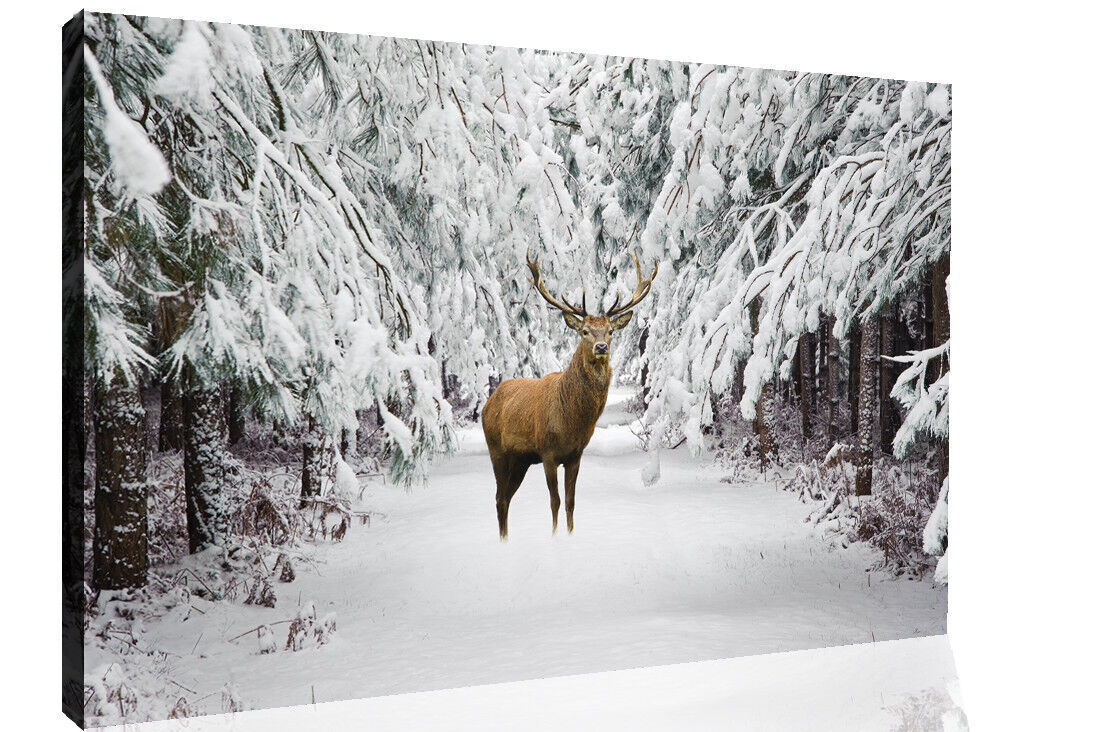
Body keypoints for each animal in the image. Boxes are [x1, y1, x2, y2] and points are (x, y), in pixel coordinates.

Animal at [481, 250, 658, 540]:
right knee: (498, 498)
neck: (573, 420)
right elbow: (555, 501)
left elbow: (571, 502)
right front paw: (555, 537)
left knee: (505, 498)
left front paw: (570, 535)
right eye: (584, 331)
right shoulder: (548, 452)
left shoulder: (575, 455)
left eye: (610, 331)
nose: (601, 347)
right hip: (496, 449)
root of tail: (488, 402)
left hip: (520, 460)